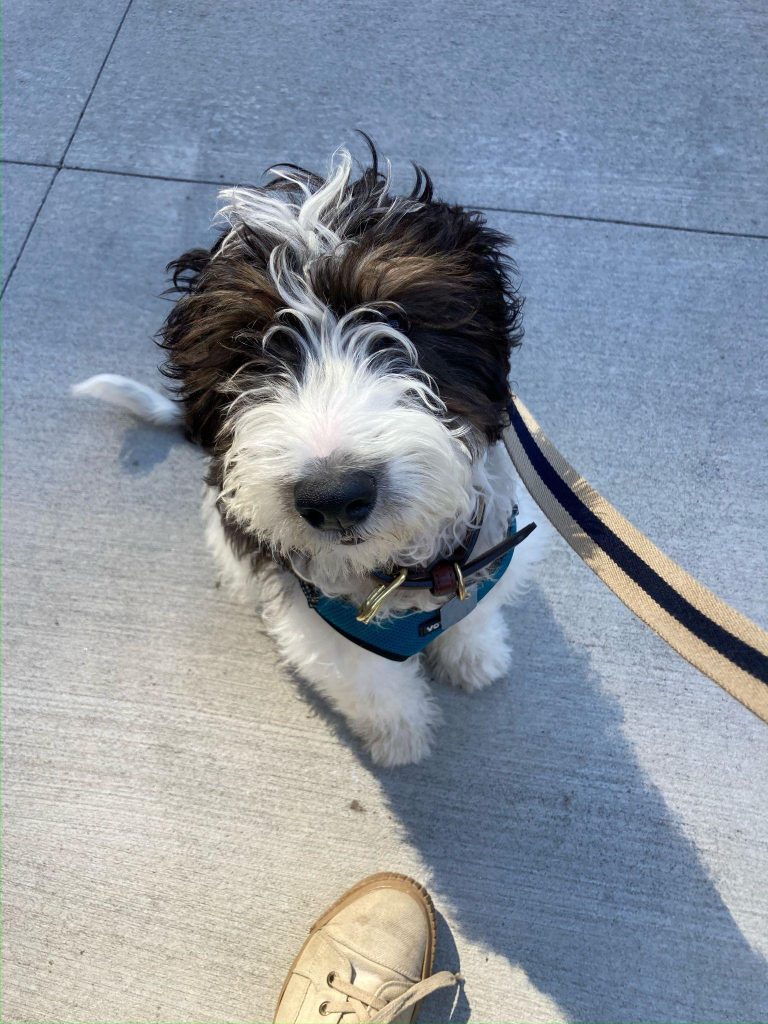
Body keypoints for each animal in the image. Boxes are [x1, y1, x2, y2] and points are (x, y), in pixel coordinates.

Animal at [75, 142, 548, 766]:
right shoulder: (320, 628)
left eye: (396, 321)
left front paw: (475, 657)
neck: (405, 574)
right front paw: (401, 737)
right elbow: (372, 685)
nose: (335, 498)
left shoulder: (493, 549)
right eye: (248, 350)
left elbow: (477, 612)